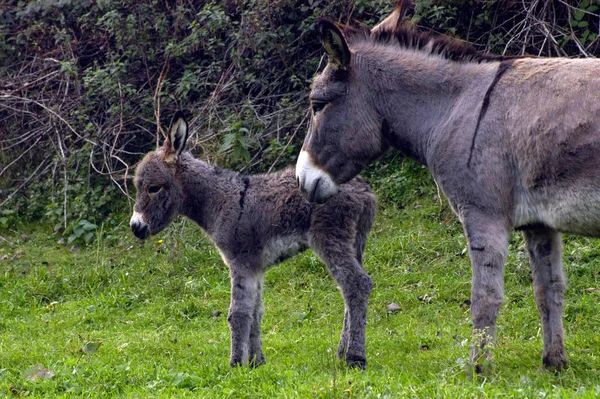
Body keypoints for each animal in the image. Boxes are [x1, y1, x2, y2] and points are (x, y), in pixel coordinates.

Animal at [131, 112, 376, 368]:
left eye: (154, 188)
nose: (135, 227)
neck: (217, 200)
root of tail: (364, 191)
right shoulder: (255, 266)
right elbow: (256, 311)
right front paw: (256, 362)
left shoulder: (239, 262)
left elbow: (238, 313)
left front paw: (236, 363)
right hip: (355, 242)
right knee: (350, 291)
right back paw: (342, 352)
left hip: (329, 237)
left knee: (357, 284)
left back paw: (355, 357)